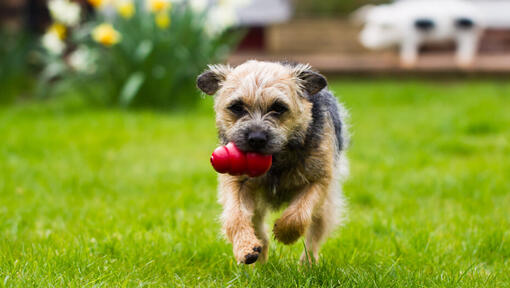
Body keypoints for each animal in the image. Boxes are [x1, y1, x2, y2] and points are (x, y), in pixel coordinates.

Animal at [197, 60, 348, 264]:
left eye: (278, 107)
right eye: (237, 107)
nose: (256, 138)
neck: (276, 161)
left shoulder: (318, 180)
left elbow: (299, 214)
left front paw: (286, 233)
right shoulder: (237, 183)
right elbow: (235, 216)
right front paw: (245, 247)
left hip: (326, 206)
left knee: (314, 236)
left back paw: (307, 264)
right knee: (258, 228)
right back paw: (259, 257)